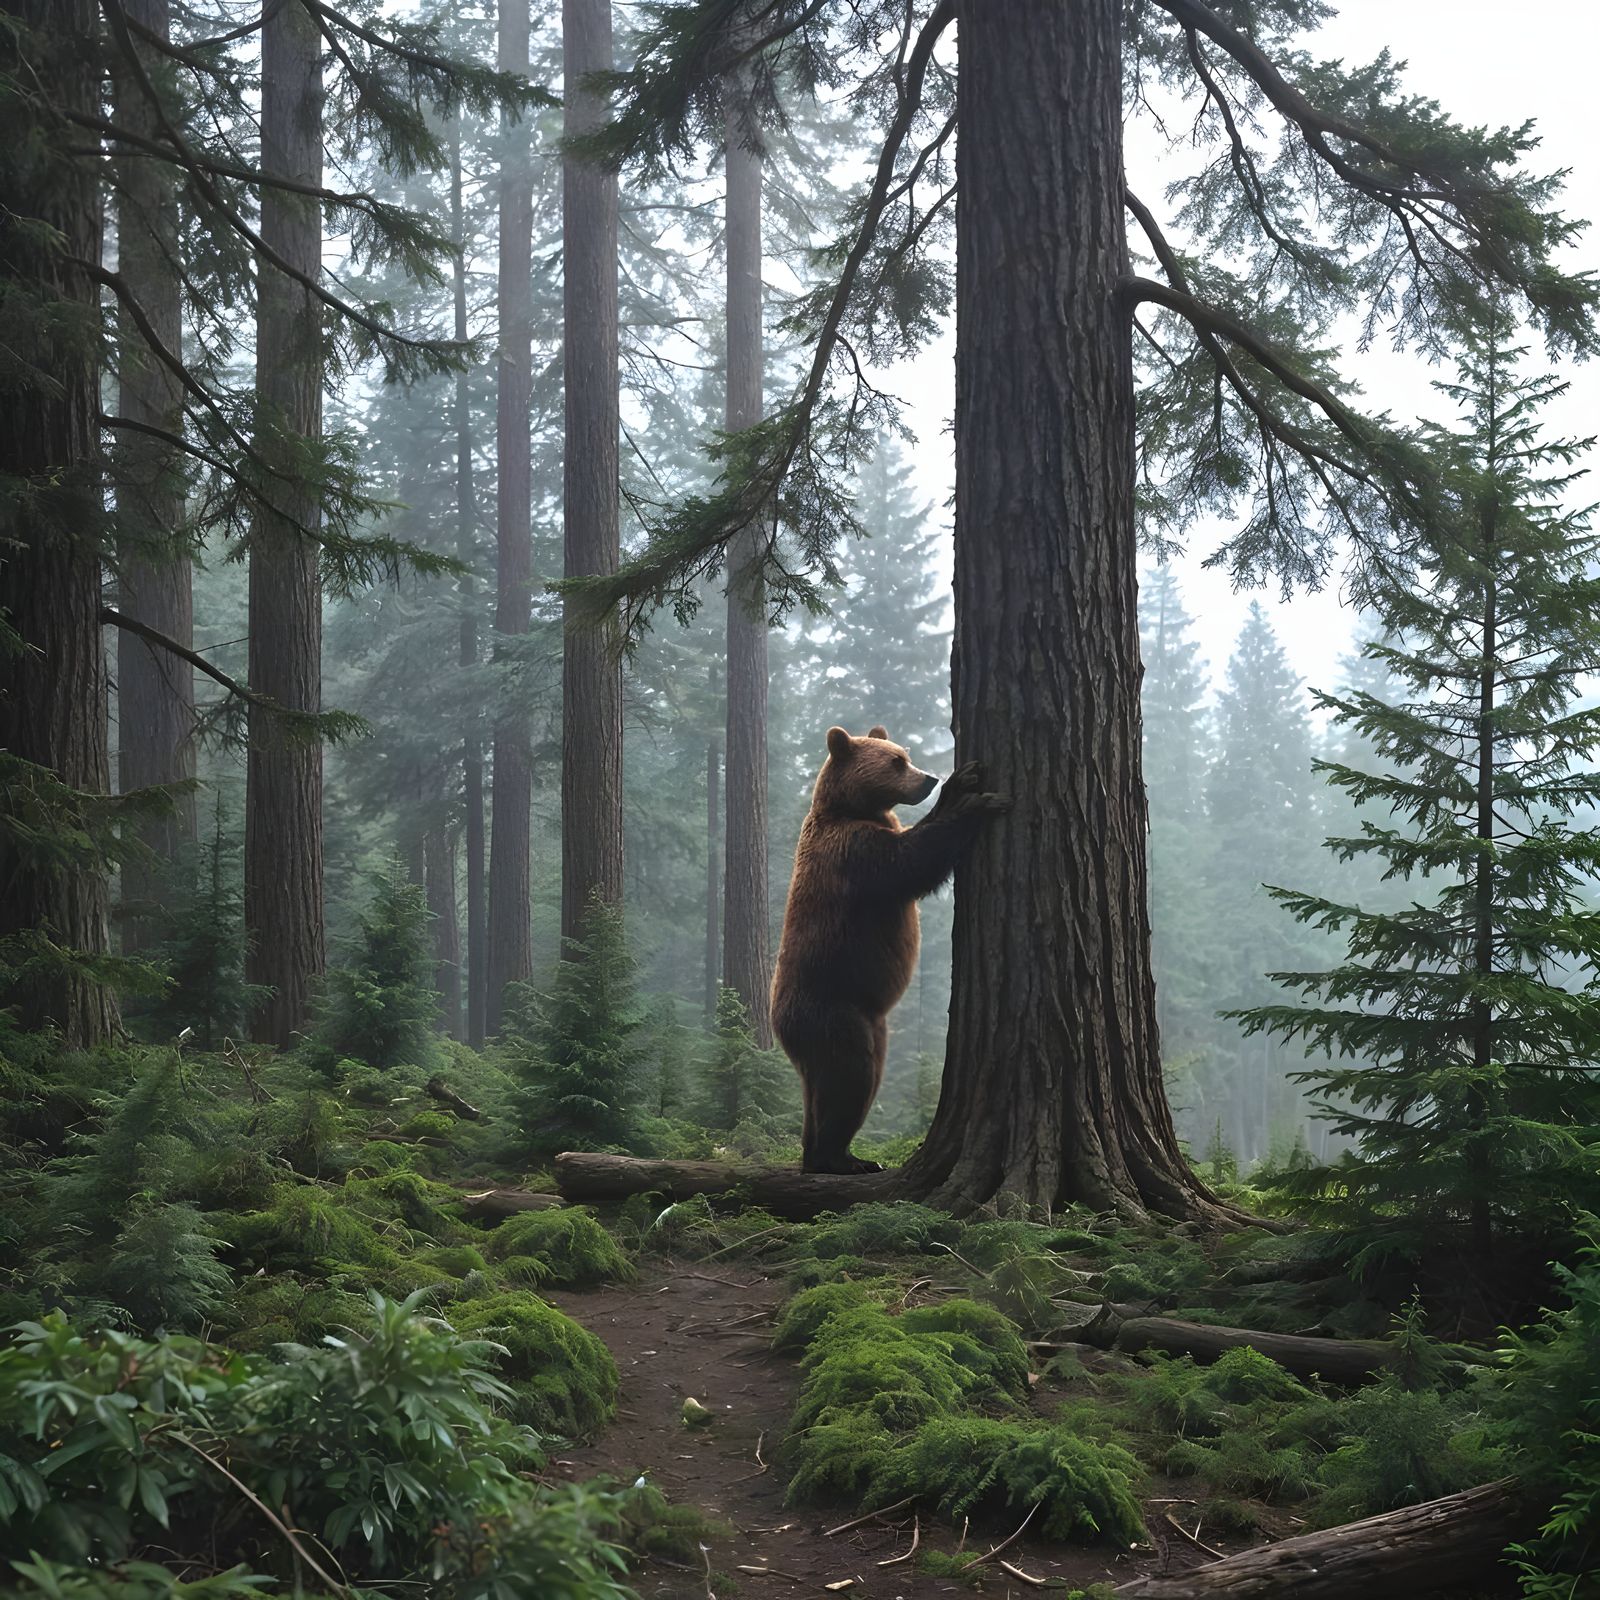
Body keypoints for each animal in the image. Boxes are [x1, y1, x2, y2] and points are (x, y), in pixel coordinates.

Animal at [769, 724, 1008, 1174]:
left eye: (905, 753)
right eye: (896, 762)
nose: (927, 778)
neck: (850, 809)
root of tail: (780, 1028)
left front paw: (963, 779)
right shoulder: (854, 853)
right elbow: (911, 861)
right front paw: (976, 802)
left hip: (872, 1028)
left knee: (850, 1088)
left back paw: (842, 1155)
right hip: (833, 1011)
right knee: (849, 1076)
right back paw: (836, 1160)